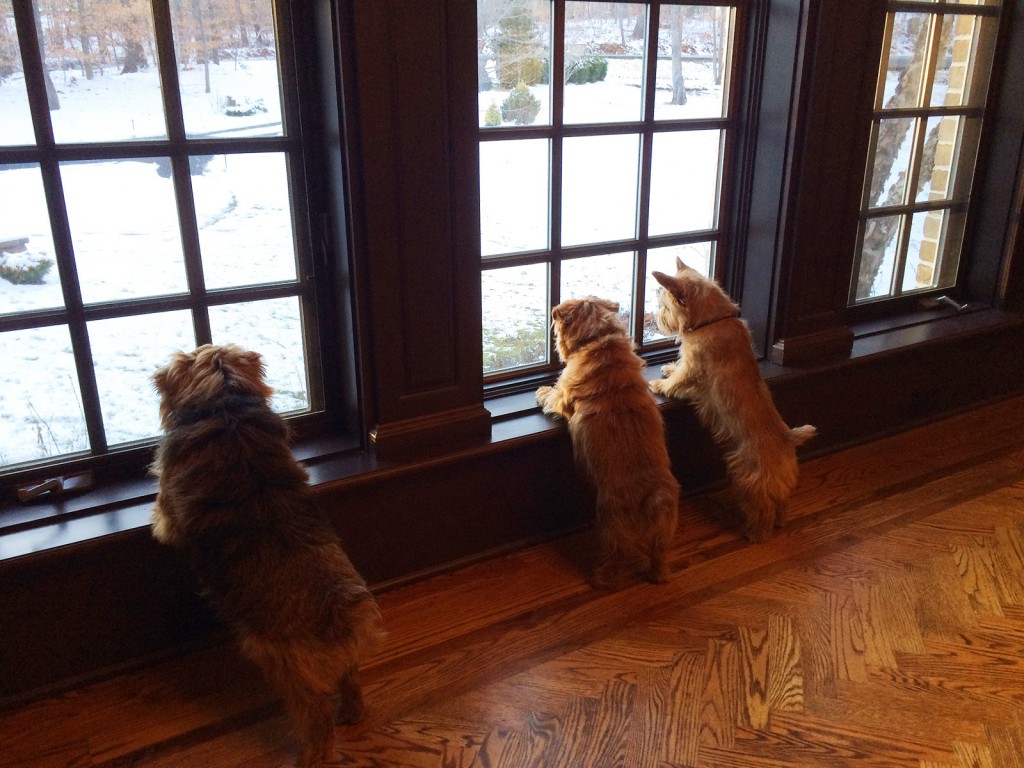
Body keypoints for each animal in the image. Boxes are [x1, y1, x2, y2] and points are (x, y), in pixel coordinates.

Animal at [152, 344, 387, 768]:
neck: (225, 405)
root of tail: (338, 611)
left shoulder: (169, 503)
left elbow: (163, 519)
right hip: (340, 660)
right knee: (350, 682)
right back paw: (351, 712)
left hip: (285, 665)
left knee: (314, 714)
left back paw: (311, 754)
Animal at [536, 296, 679, 585]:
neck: (599, 340)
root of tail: (653, 497)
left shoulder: (563, 395)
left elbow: (552, 396)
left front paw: (541, 391)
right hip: (664, 531)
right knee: (659, 558)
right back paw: (658, 576)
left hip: (612, 523)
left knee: (616, 555)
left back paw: (601, 578)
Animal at [647, 262, 815, 544]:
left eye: (666, 306)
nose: (657, 320)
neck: (712, 321)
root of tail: (787, 438)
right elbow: (678, 367)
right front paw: (668, 368)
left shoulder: (693, 367)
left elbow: (678, 380)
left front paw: (659, 385)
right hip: (781, 484)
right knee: (781, 503)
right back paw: (780, 522)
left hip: (749, 480)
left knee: (763, 509)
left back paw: (755, 534)